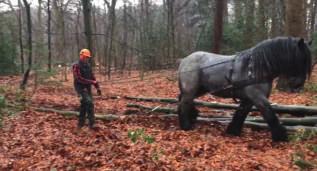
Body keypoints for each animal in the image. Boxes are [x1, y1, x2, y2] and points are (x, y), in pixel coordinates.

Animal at [177, 36, 312, 142]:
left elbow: (241, 114)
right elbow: (270, 114)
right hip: (191, 89)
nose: (298, 85)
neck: (256, 68)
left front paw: (233, 131)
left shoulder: (249, 99)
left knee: (182, 99)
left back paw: (192, 117)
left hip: (200, 89)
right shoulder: (258, 97)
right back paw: (186, 126)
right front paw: (281, 137)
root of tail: (185, 60)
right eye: (300, 59)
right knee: (185, 103)